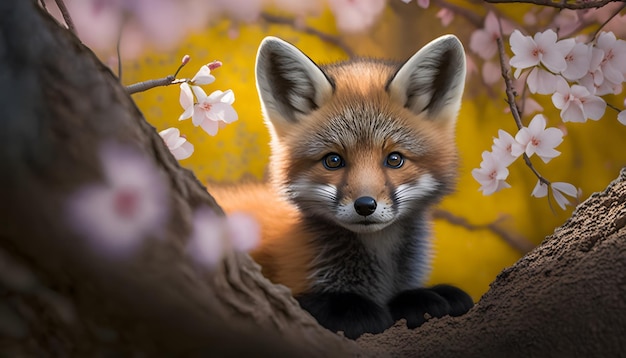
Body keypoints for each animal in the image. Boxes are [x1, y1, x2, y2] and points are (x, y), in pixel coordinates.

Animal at [207, 35, 470, 340]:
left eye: (394, 159)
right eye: (333, 160)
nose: (365, 206)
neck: (381, 273)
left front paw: (429, 296)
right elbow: (341, 306)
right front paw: (401, 305)